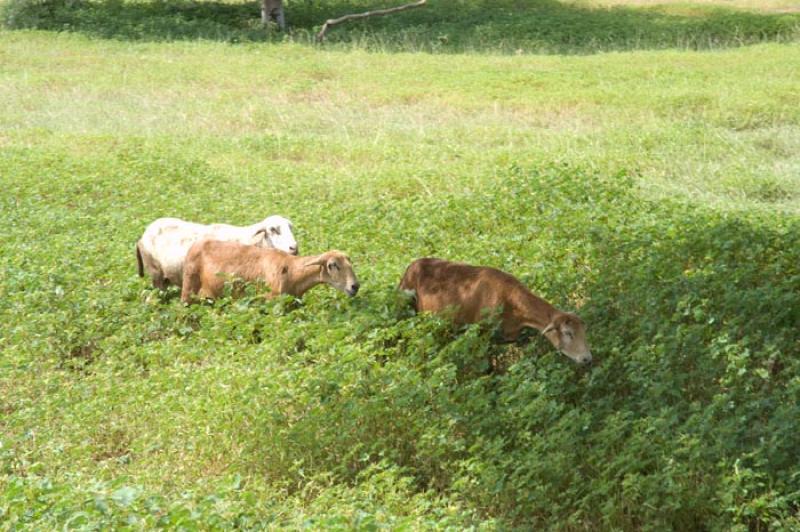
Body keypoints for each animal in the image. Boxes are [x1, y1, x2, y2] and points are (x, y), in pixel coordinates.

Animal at [181, 240, 360, 304]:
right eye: (332, 265)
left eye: (350, 262)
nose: (355, 286)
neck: (292, 271)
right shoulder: (271, 301)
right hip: (189, 287)